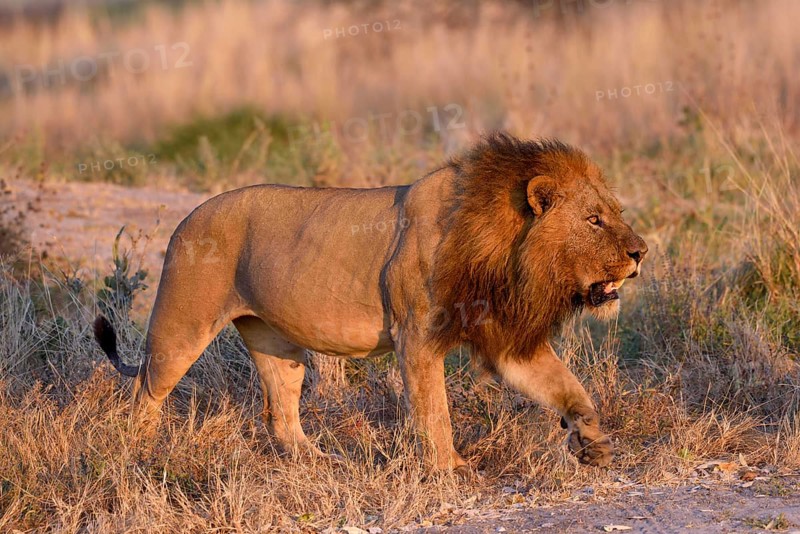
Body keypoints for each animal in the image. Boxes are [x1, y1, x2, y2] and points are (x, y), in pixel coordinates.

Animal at [94, 133, 647, 472]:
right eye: (594, 220)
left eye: (616, 213)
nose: (641, 252)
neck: (506, 252)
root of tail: (186, 218)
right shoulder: (417, 337)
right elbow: (433, 410)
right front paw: (450, 470)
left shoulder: (507, 340)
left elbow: (568, 387)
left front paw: (594, 442)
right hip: (180, 328)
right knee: (145, 391)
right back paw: (134, 455)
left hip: (277, 344)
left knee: (281, 412)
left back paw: (319, 461)